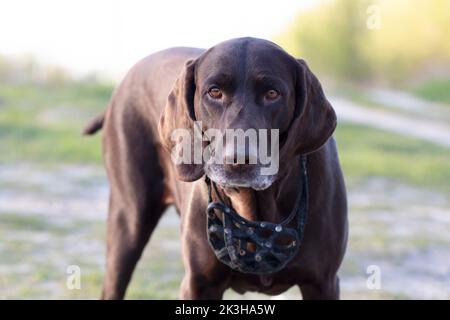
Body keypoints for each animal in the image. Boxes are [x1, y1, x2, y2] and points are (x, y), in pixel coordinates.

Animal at [83, 37, 348, 300]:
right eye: (214, 92)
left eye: (272, 93)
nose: (239, 158)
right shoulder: (199, 285)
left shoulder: (322, 283)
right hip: (128, 225)